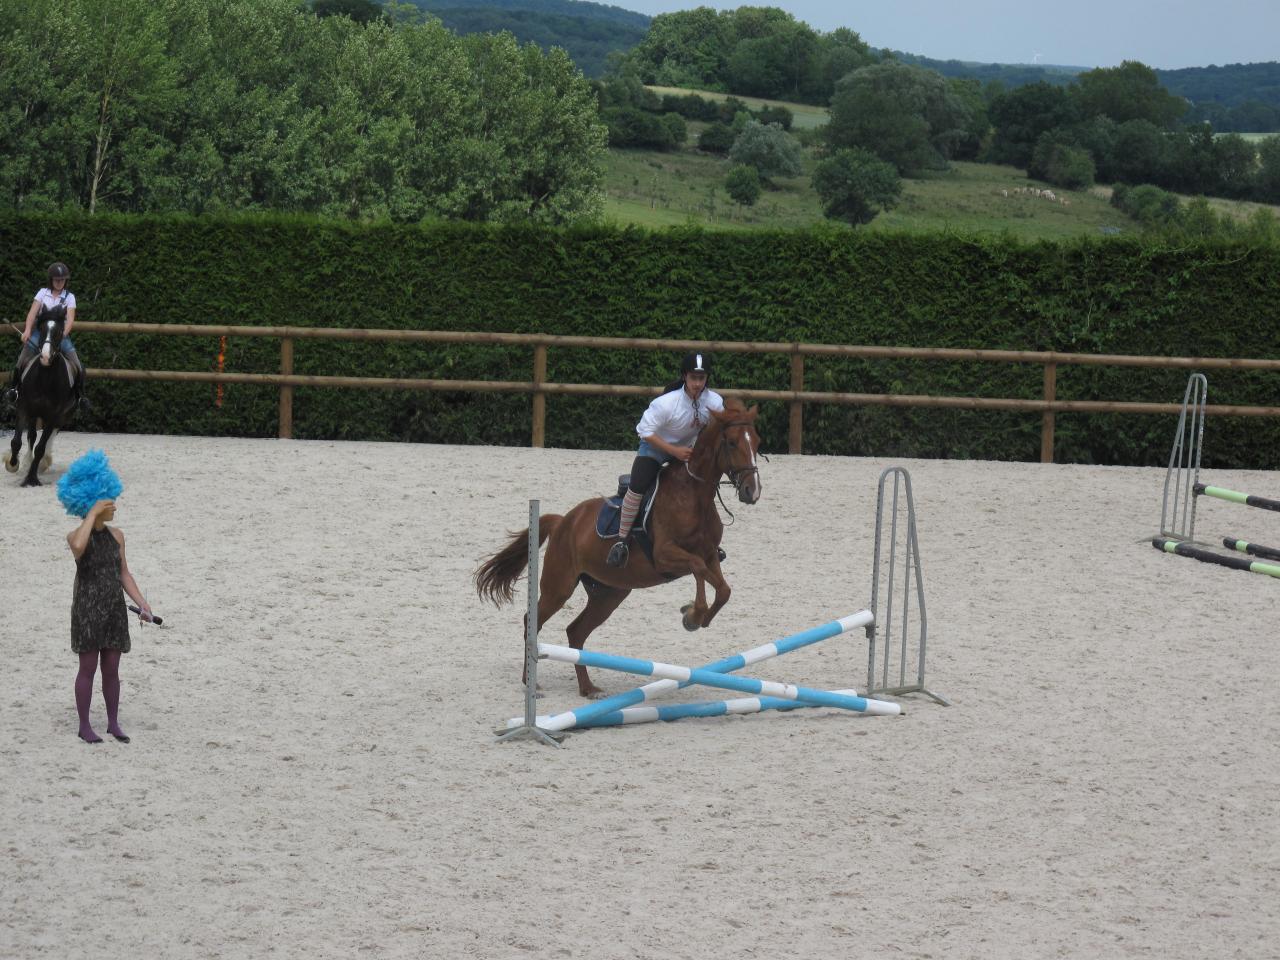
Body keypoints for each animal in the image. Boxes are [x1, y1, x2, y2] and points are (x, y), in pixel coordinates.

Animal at [478, 399, 757, 701]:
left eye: (757, 442)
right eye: (731, 442)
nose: (751, 492)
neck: (694, 496)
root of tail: (564, 521)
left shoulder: (709, 555)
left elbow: (721, 587)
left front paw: (696, 616)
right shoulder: (665, 555)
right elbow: (698, 568)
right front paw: (693, 615)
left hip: (609, 594)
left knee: (576, 631)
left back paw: (588, 688)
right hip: (559, 588)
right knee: (533, 621)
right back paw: (531, 683)